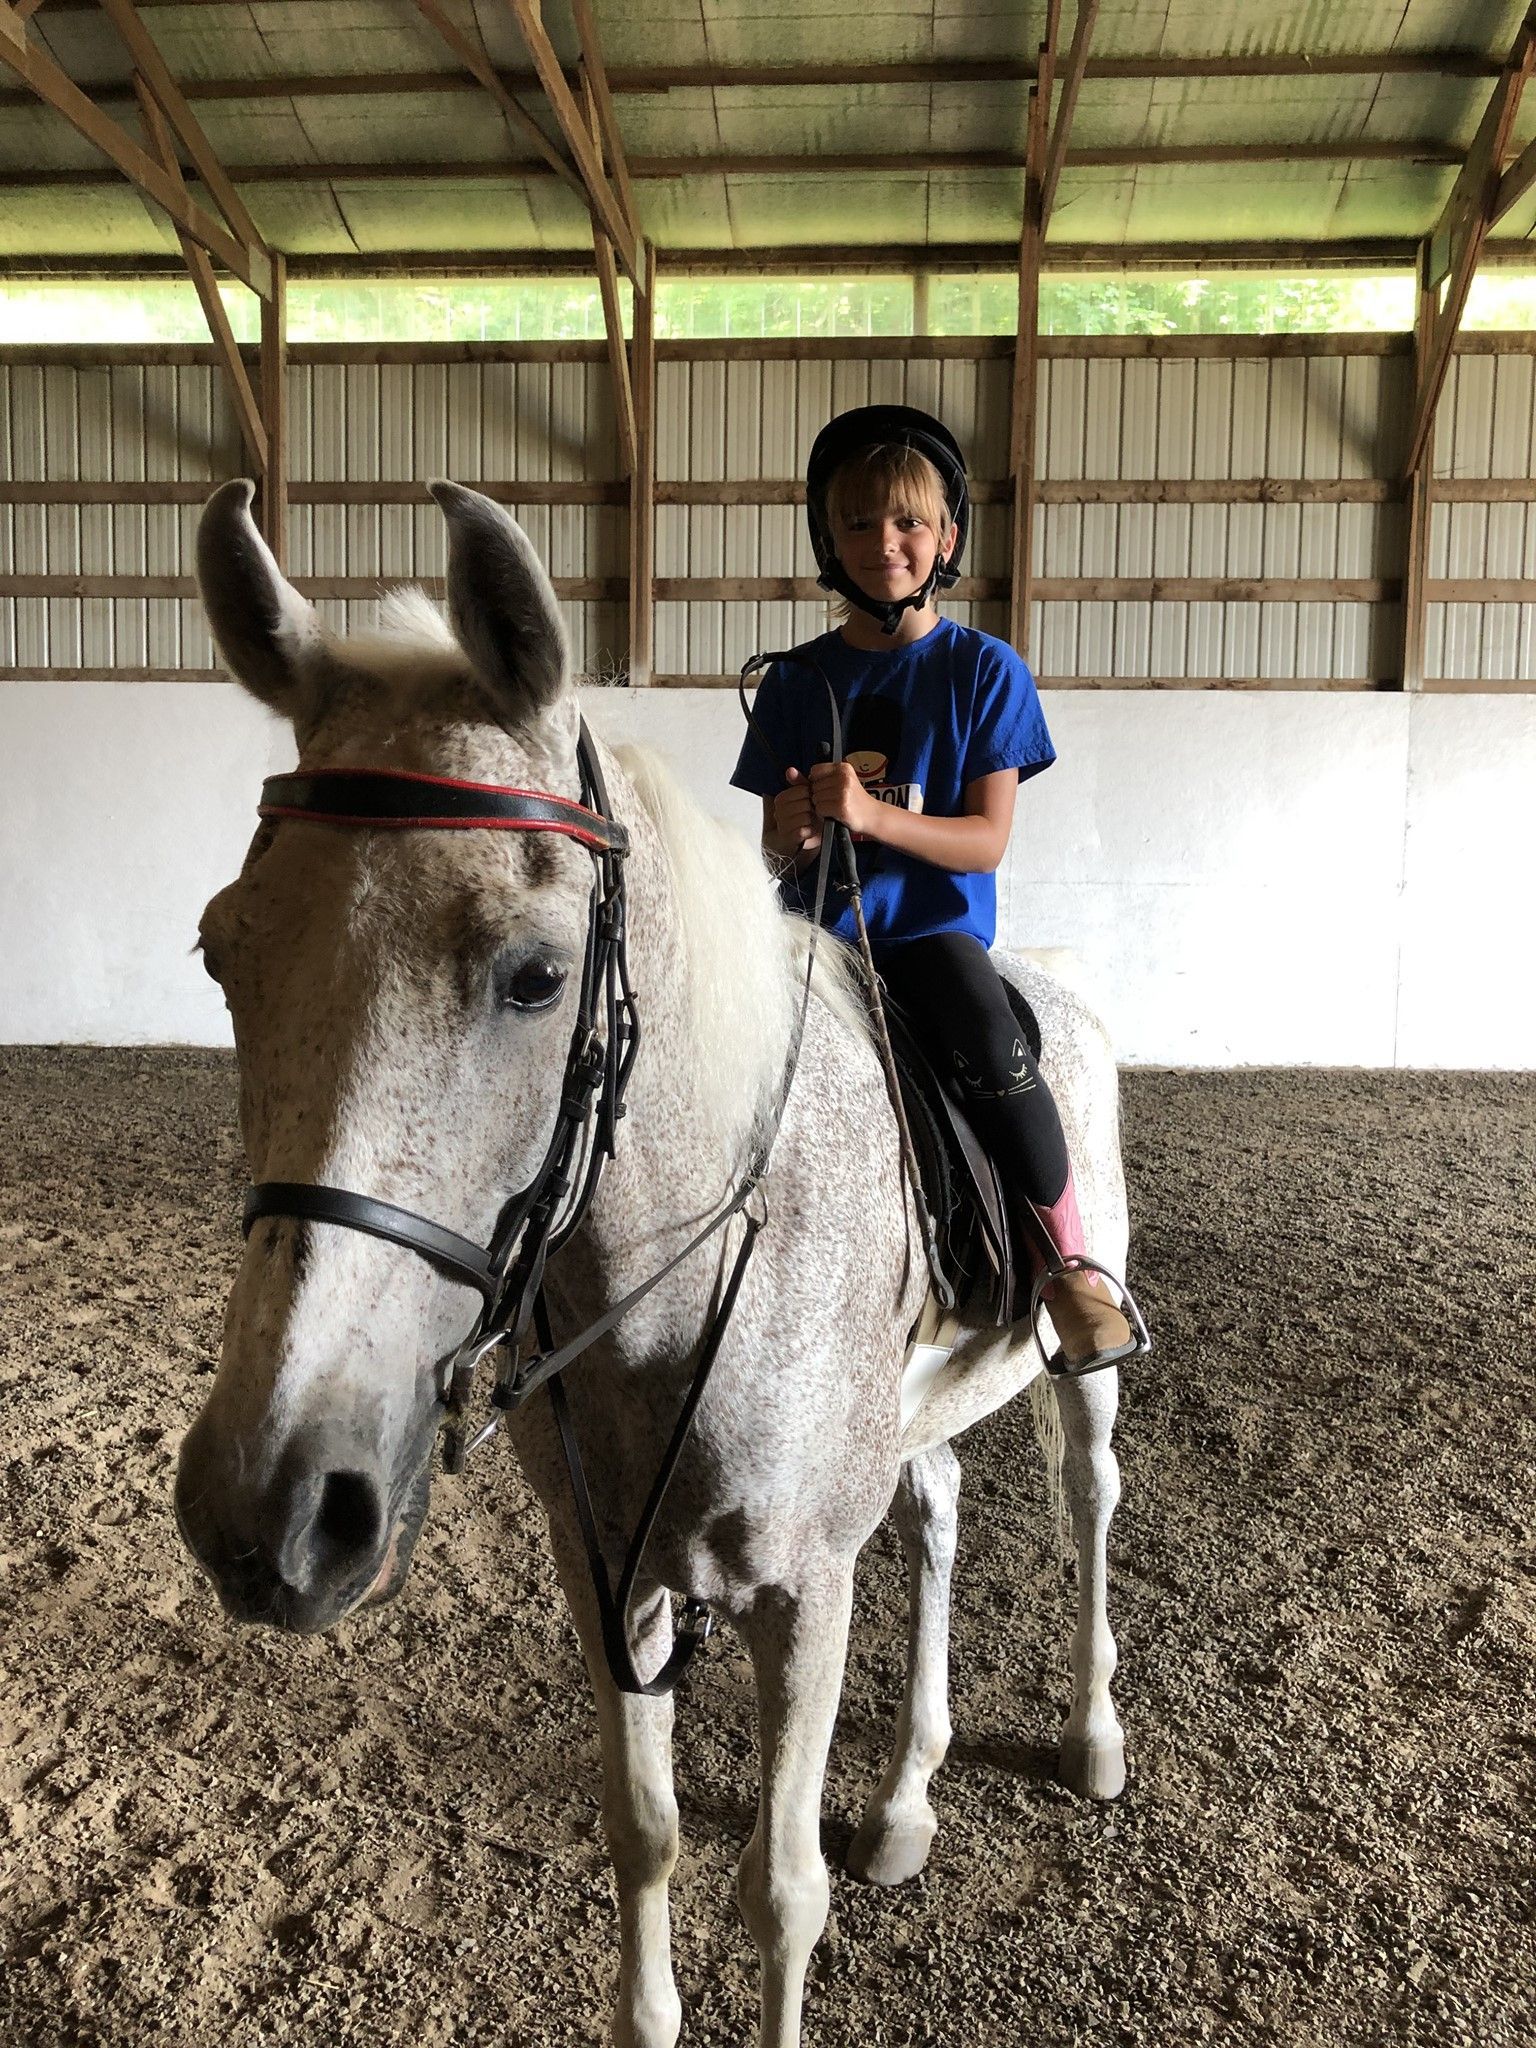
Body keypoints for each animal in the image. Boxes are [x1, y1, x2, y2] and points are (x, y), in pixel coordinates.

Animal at [175, 477, 1130, 2048]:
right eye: (222, 956)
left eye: (536, 975)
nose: (272, 1511)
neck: (675, 1288)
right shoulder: (607, 1570)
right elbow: (648, 1834)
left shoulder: (804, 1586)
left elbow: (782, 1893)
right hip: (909, 1419)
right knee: (936, 1514)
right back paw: (907, 1800)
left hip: (1084, 1374)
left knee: (1090, 1501)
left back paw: (1093, 1737)